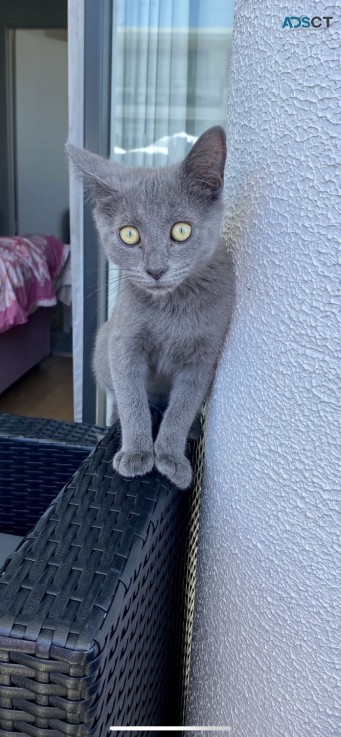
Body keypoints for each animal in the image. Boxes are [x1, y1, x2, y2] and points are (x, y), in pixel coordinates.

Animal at [66, 126, 232, 488]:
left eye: (181, 230)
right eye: (129, 235)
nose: (155, 270)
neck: (171, 307)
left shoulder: (203, 358)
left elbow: (182, 407)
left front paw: (169, 457)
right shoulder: (123, 343)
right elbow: (131, 399)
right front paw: (138, 453)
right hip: (103, 344)